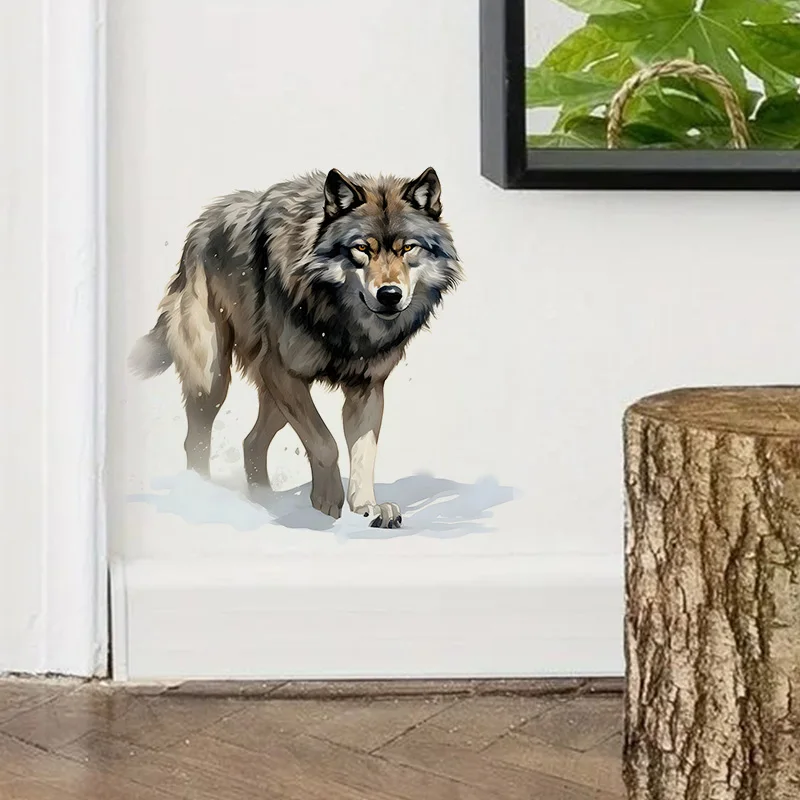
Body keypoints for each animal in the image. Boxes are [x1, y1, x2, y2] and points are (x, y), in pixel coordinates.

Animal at [129, 167, 462, 528]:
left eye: (408, 248)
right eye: (361, 248)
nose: (389, 294)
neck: (342, 321)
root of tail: (199, 227)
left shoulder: (367, 387)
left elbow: (364, 455)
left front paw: (367, 508)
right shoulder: (282, 372)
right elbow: (325, 443)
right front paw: (326, 504)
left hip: (274, 397)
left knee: (251, 443)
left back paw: (264, 502)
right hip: (214, 380)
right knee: (197, 440)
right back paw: (203, 496)